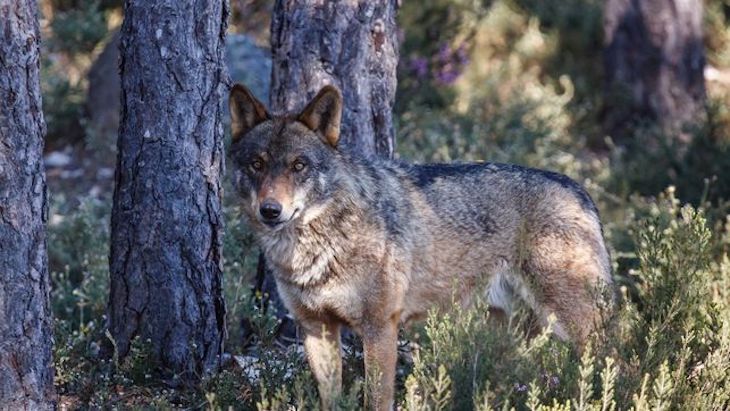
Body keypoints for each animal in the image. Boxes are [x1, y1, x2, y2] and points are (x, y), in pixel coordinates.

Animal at [228, 83, 613, 410]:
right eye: (257, 164)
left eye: (299, 166)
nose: (270, 210)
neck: (315, 247)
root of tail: (580, 190)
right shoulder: (316, 327)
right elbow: (331, 400)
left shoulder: (380, 328)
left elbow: (377, 400)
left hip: (569, 323)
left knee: (614, 363)